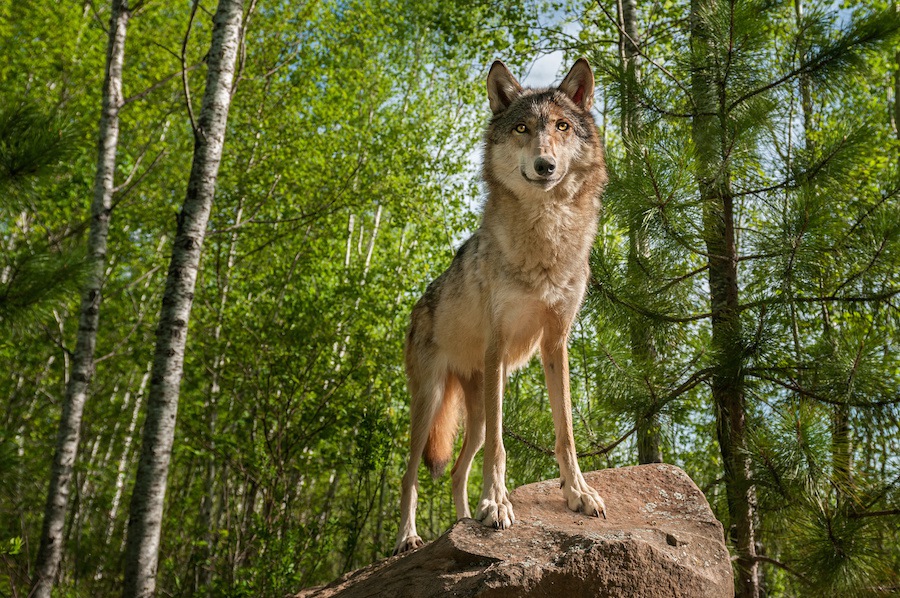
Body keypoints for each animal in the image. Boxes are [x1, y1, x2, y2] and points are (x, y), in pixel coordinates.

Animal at [398, 58, 608, 556]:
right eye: (521, 128)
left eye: (562, 126)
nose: (545, 164)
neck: (546, 236)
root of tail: (417, 308)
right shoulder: (498, 348)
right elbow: (501, 446)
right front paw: (496, 505)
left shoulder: (556, 344)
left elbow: (565, 433)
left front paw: (578, 493)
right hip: (430, 404)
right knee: (409, 475)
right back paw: (409, 538)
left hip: (471, 415)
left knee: (456, 471)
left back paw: (459, 524)